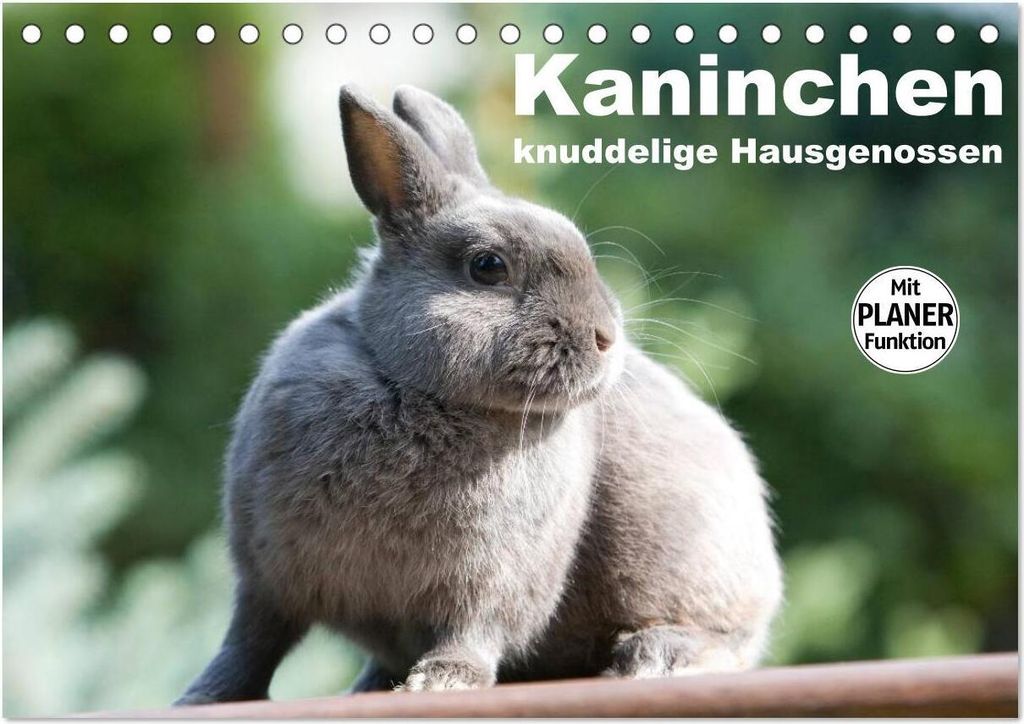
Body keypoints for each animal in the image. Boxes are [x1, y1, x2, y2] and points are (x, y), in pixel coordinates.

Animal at [175, 84, 782, 705]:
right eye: (487, 266)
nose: (606, 337)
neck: (414, 387)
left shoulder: (492, 580)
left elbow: (472, 630)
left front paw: (441, 681)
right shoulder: (266, 577)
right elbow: (250, 645)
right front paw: (201, 697)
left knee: (725, 644)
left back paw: (654, 659)